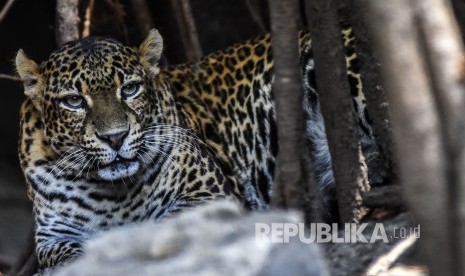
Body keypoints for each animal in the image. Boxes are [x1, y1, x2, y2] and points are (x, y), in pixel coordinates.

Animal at [16, 25, 380, 270]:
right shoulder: (53, 236)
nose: (115, 137)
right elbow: (68, 258)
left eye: (130, 89)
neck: (114, 194)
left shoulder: (212, 194)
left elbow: (170, 225)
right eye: (74, 101)